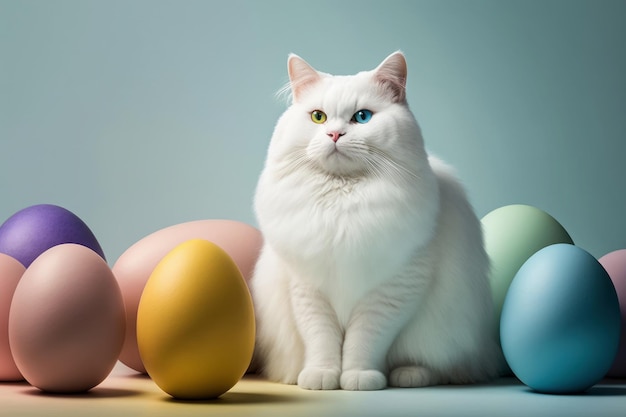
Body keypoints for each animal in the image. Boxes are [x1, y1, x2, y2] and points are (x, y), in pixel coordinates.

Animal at [250, 52, 502, 390]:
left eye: (362, 117)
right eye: (318, 117)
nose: (334, 134)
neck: (342, 203)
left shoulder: (393, 289)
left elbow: (363, 341)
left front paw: (359, 378)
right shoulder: (308, 288)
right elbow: (322, 340)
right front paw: (321, 376)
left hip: (444, 332)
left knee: (440, 366)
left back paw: (409, 375)